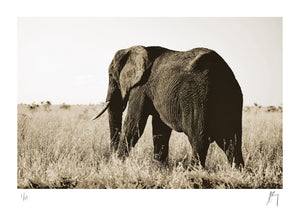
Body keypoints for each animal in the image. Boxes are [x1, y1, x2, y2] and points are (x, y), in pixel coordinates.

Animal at [92, 45, 245, 167]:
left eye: (111, 76)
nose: (112, 157)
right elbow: (160, 130)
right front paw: (160, 168)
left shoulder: (141, 87)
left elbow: (134, 124)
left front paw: (117, 164)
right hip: (233, 99)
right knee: (232, 142)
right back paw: (238, 171)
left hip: (197, 98)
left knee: (199, 140)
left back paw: (193, 172)